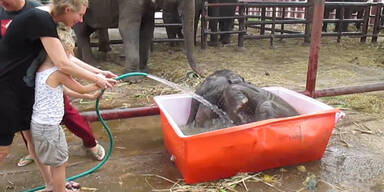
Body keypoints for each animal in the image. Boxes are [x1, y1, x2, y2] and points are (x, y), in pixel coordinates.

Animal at [73, 0, 202, 76]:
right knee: (82, 31)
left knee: (89, 28)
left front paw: (144, 71)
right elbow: (128, 27)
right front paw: (133, 78)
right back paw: (93, 64)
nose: (200, 74)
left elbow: (147, 28)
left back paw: (80, 58)